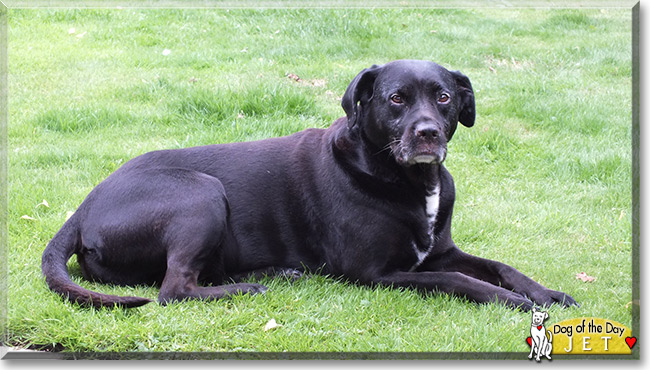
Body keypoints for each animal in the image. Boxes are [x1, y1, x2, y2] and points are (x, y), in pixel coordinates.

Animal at [41, 60, 576, 310]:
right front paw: (516, 303)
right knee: (174, 289)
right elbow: (460, 280)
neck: (403, 177)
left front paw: (546, 293)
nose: (427, 133)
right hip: (201, 193)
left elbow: (498, 265)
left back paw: (275, 273)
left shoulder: (440, 251)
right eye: (396, 98)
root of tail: (82, 208)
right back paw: (250, 288)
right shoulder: (377, 274)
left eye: (443, 97)